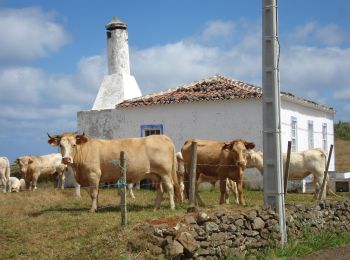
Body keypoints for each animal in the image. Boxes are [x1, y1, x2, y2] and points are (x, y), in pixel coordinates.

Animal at [47, 132, 180, 211]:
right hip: (155, 175)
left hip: (165, 173)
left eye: (74, 145)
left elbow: (93, 193)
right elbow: (95, 194)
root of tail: (163, 137)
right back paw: (155, 208)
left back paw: (172, 207)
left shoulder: (93, 175)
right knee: (160, 190)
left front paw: (92, 209)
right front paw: (97, 207)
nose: (66, 159)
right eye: (60, 145)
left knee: (170, 187)